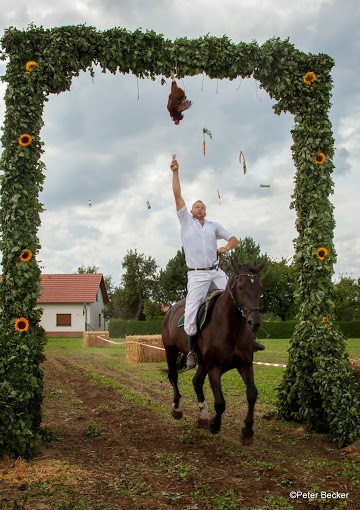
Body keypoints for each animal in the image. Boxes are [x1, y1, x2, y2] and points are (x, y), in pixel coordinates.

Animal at [162, 256, 266, 444]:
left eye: (259, 288)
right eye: (241, 287)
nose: (254, 322)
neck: (232, 328)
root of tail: (171, 309)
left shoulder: (245, 364)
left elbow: (252, 394)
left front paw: (247, 431)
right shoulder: (214, 367)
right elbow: (220, 402)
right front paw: (215, 425)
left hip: (202, 363)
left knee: (196, 382)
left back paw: (203, 415)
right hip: (170, 350)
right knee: (173, 376)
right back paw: (177, 408)